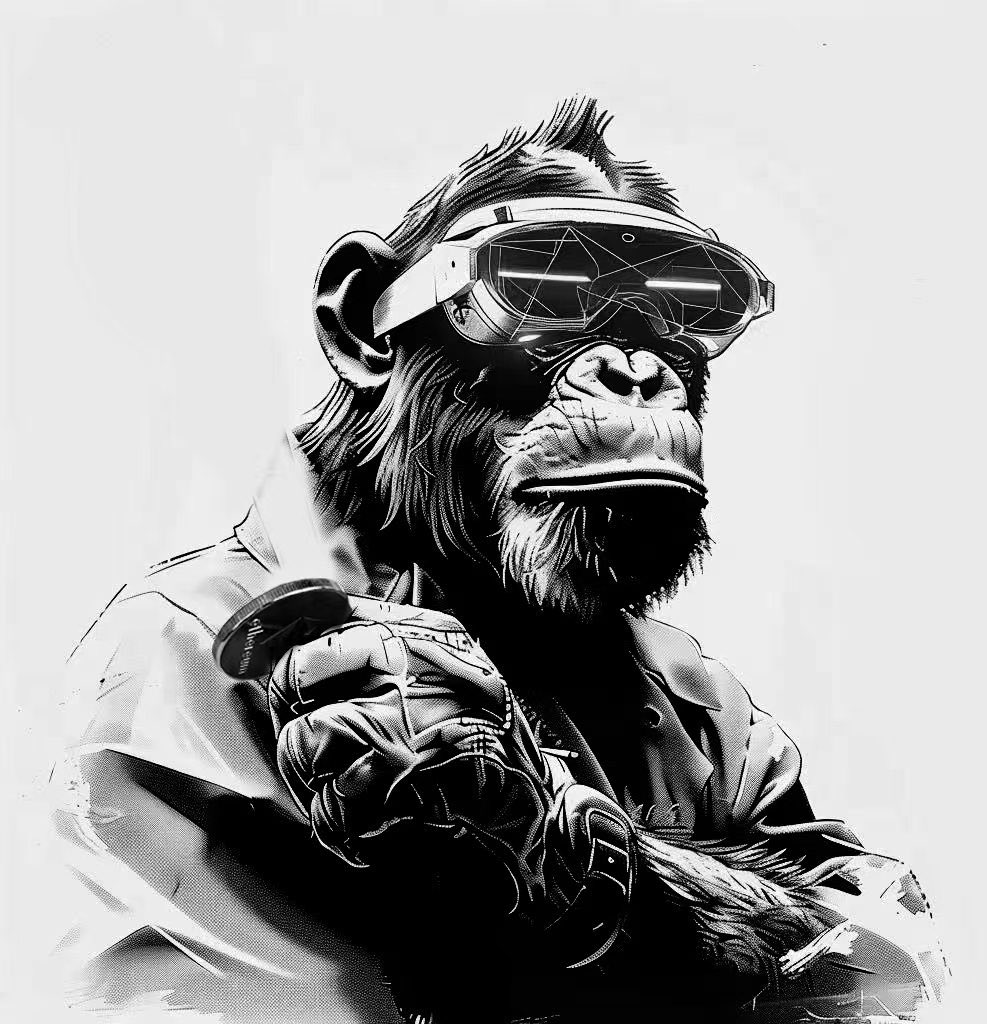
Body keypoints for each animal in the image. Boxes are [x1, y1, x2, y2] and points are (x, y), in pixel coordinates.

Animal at [54, 98, 946, 1023]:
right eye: (546, 286)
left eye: (692, 305)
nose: (635, 369)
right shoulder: (148, 681)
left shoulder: (719, 693)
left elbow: (861, 909)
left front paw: (492, 781)